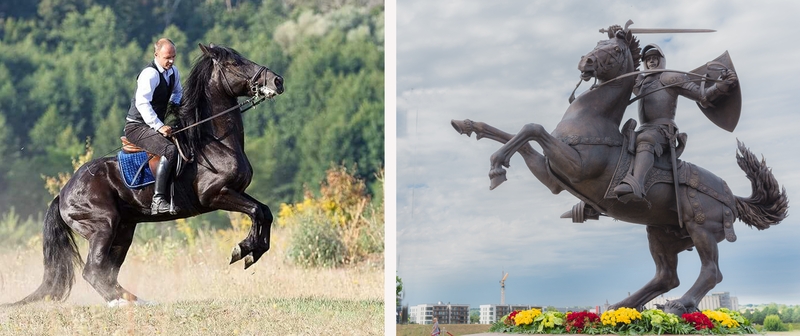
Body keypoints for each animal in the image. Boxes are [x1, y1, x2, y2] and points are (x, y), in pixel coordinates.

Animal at [12, 43, 284, 306]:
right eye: (235, 63)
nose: (277, 81)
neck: (215, 142)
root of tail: (63, 192)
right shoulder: (216, 195)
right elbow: (256, 211)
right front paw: (244, 250)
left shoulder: (236, 191)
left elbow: (265, 212)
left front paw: (254, 250)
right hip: (103, 225)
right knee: (94, 270)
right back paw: (121, 303)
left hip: (123, 230)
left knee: (108, 271)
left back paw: (136, 300)